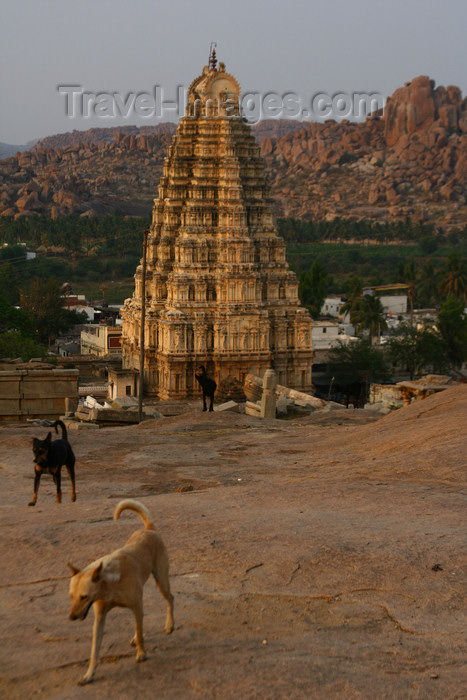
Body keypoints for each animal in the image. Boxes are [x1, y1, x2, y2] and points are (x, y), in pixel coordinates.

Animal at [67, 500, 174, 688]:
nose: (71, 617)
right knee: (141, 619)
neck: (108, 584)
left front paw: (141, 653)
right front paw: (88, 674)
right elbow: (94, 650)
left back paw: (169, 625)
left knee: (170, 599)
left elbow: (140, 630)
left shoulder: (136, 604)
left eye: (84, 596)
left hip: (161, 581)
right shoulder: (99, 617)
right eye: (71, 596)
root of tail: (149, 529)